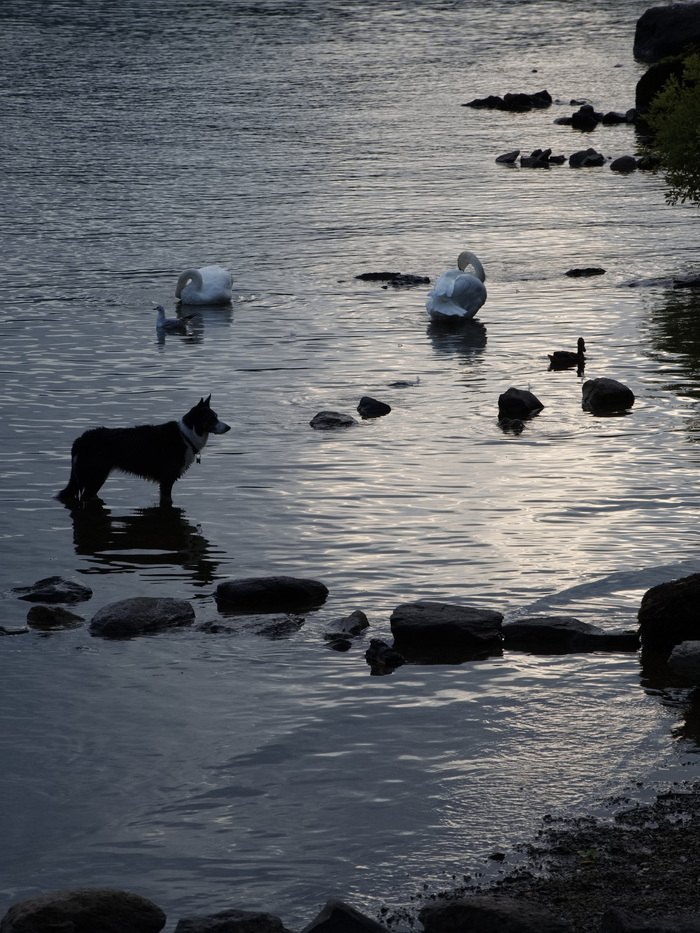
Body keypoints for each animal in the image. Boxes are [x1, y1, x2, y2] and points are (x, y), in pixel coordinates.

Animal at [57, 396, 231, 506]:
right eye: (212, 418)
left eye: (217, 416)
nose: (229, 427)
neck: (187, 435)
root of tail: (80, 439)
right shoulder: (167, 479)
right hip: (95, 476)